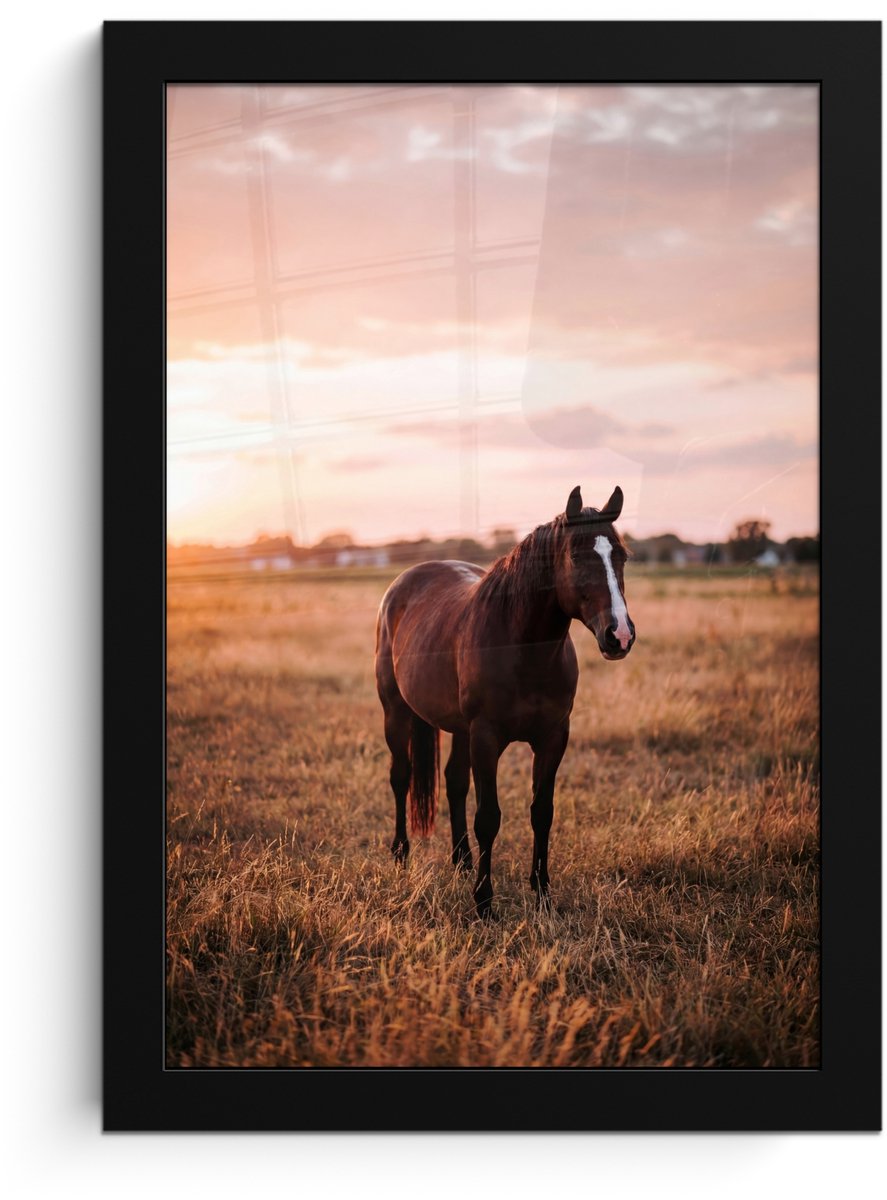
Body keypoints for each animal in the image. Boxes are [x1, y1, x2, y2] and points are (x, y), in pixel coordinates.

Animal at [374, 484, 635, 917]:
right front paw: (483, 902)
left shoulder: (553, 737)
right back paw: (400, 854)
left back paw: (462, 860)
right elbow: (489, 818)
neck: (522, 648)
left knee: (454, 782)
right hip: (397, 713)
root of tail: (405, 582)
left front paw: (543, 894)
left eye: (622, 556)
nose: (620, 635)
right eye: (577, 556)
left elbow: (542, 812)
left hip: (459, 729)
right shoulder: (486, 737)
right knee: (401, 777)